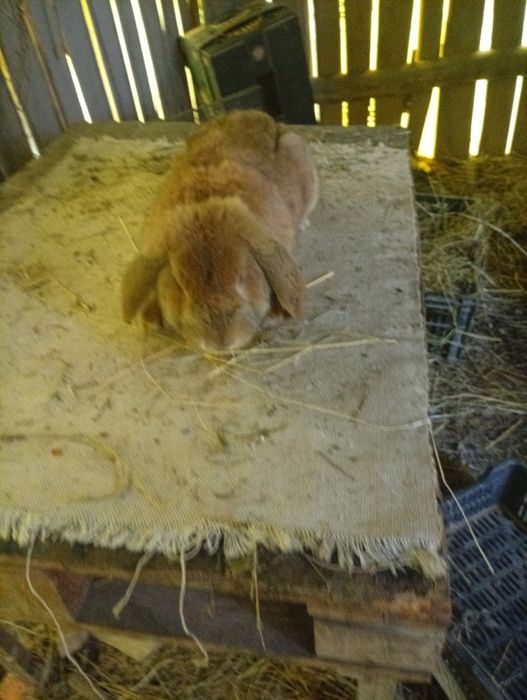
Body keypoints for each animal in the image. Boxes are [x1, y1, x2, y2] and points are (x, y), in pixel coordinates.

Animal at [122, 110, 318, 352]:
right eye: (179, 286)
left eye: (242, 279)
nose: (220, 342)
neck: (206, 206)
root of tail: (254, 115)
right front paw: (150, 318)